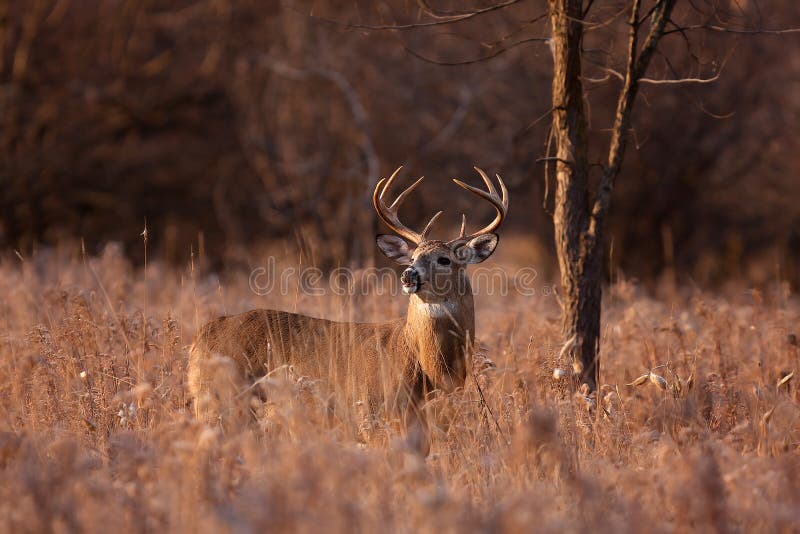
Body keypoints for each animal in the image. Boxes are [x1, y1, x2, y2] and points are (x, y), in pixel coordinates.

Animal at [187, 166, 508, 451]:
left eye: (444, 259)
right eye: (412, 257)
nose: (409, 275)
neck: (424, 366)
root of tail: (201, 337)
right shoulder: (372, 412)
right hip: (222, 399)